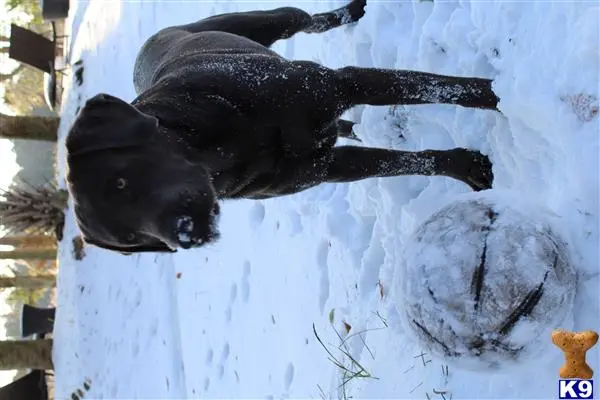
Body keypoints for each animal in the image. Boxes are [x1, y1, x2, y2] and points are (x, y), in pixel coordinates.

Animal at [65, 0, 500, 255]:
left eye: (122, 180)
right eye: (133, 239)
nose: (184, 237)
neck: (223, 146)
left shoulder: (338, 85)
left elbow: (439, 86)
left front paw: (500, 94)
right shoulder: (330, 169)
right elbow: (410, 162)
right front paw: (468, 169)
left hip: (269, 22)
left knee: (309, 20)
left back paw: (351, 10)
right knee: (344, 128)